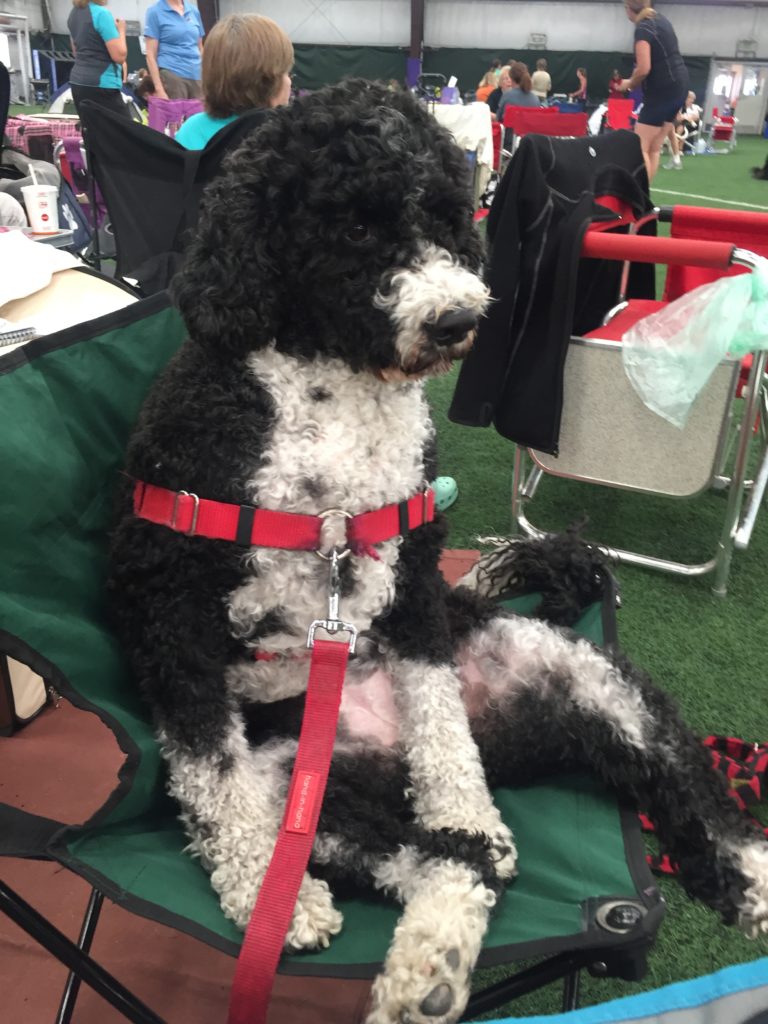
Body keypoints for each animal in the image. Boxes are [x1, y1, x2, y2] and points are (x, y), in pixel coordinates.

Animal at [109, 81, 768, 1024]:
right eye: (353, 229)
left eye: (452, 218)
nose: (459, 319)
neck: (336, 393)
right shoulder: (165, 600)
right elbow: (211, 774)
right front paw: (264, 892)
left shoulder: (416, 576)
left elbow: (441, 724)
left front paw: (466, 798)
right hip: (320, 796)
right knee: (448, 858)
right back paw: (425, 965)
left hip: (607, 696)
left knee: (686, 798)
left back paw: (742, 880)